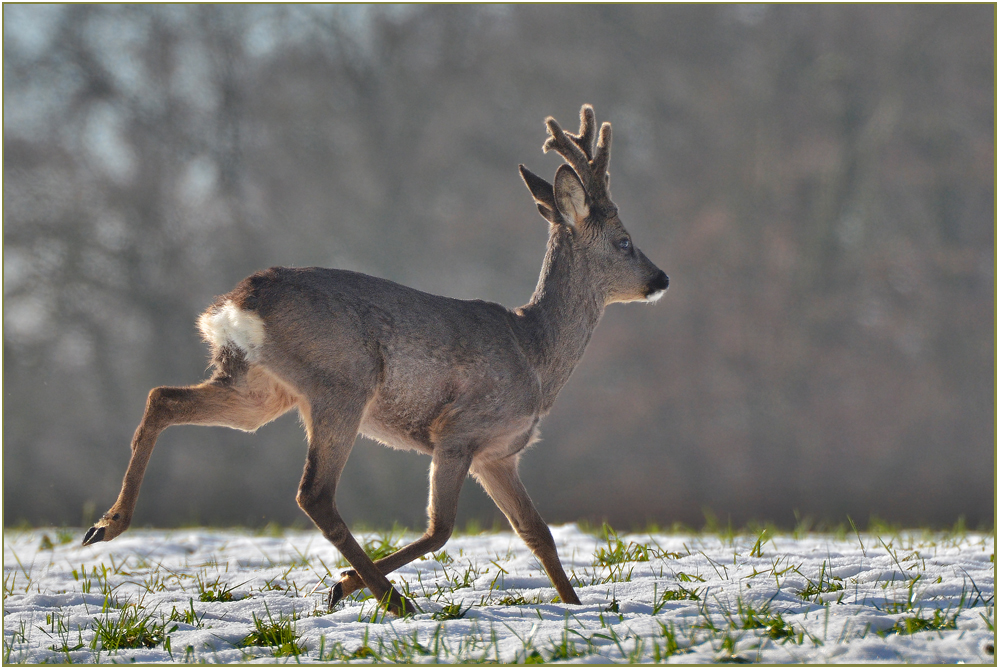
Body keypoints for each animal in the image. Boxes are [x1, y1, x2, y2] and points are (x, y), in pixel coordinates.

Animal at [84, 103, 664, 616]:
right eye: (625, 241)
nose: (661, 279)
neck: (535, 354)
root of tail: (236, 302)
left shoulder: (499, 454)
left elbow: (537, 534)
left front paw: (577, 607)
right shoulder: (459, 431)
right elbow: (440, 529)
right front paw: (344, 585)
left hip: (258, 388)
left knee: (163, 397)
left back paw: (105, 524)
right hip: (343, 384)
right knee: (314, 494)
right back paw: (389, 599)